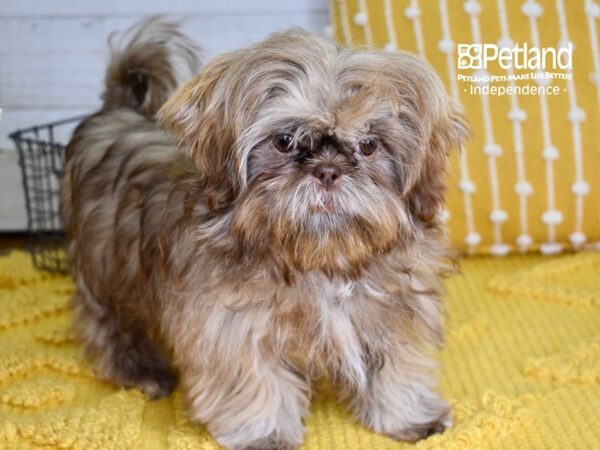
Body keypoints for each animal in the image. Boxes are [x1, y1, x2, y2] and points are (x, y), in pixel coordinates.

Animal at [64, 15, 468, 448]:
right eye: (285, 140)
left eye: (369, 144)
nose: (328, 171)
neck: (319, 259)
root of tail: (117, 111)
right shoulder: (233, 328)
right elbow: (256, 383)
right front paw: (266, 432)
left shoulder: (392, 315)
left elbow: (397, 370)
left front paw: (409, 415)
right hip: (108, 270)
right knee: (109, 326)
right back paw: (141, 371)